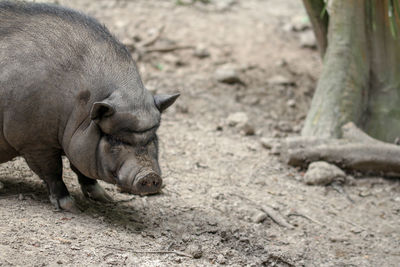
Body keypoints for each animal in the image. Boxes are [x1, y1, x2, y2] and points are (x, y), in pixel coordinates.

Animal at [0, 1, 178, 211]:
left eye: (153, 137)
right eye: (114, 139)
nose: (150, 176)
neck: (78, 108)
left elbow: (81, 168)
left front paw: (105, 198)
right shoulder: (34, 141)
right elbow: (53, 171)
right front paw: (69, 205)